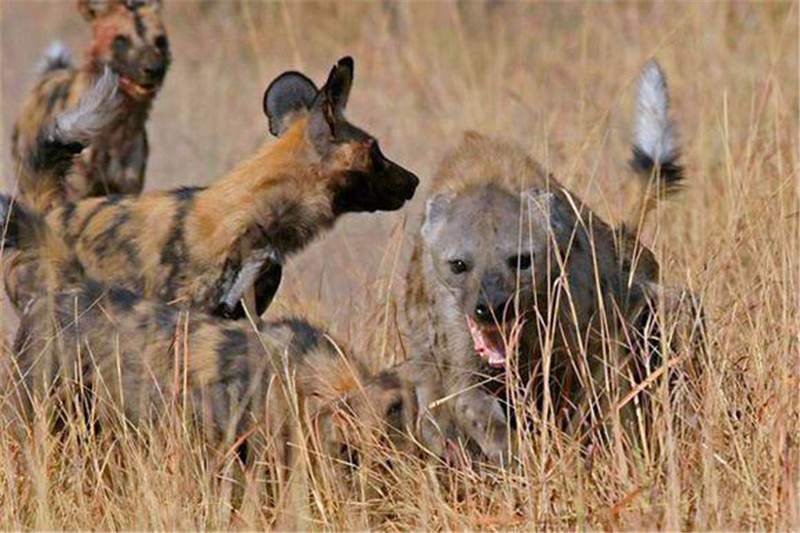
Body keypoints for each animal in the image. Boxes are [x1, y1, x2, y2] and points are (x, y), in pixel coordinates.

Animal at [11, 0, 169, 211]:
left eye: (160, 41)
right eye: (121, 40)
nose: (154, 69)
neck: (118, 131)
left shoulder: (127, 189)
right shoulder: (75, 193)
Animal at [404, 59, 704, 458]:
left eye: (521, 260)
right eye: (459, 264)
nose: (492, 307)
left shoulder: (588, 330)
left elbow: (594, 394)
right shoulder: (453, 341)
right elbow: (472, 403)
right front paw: (518, 453)